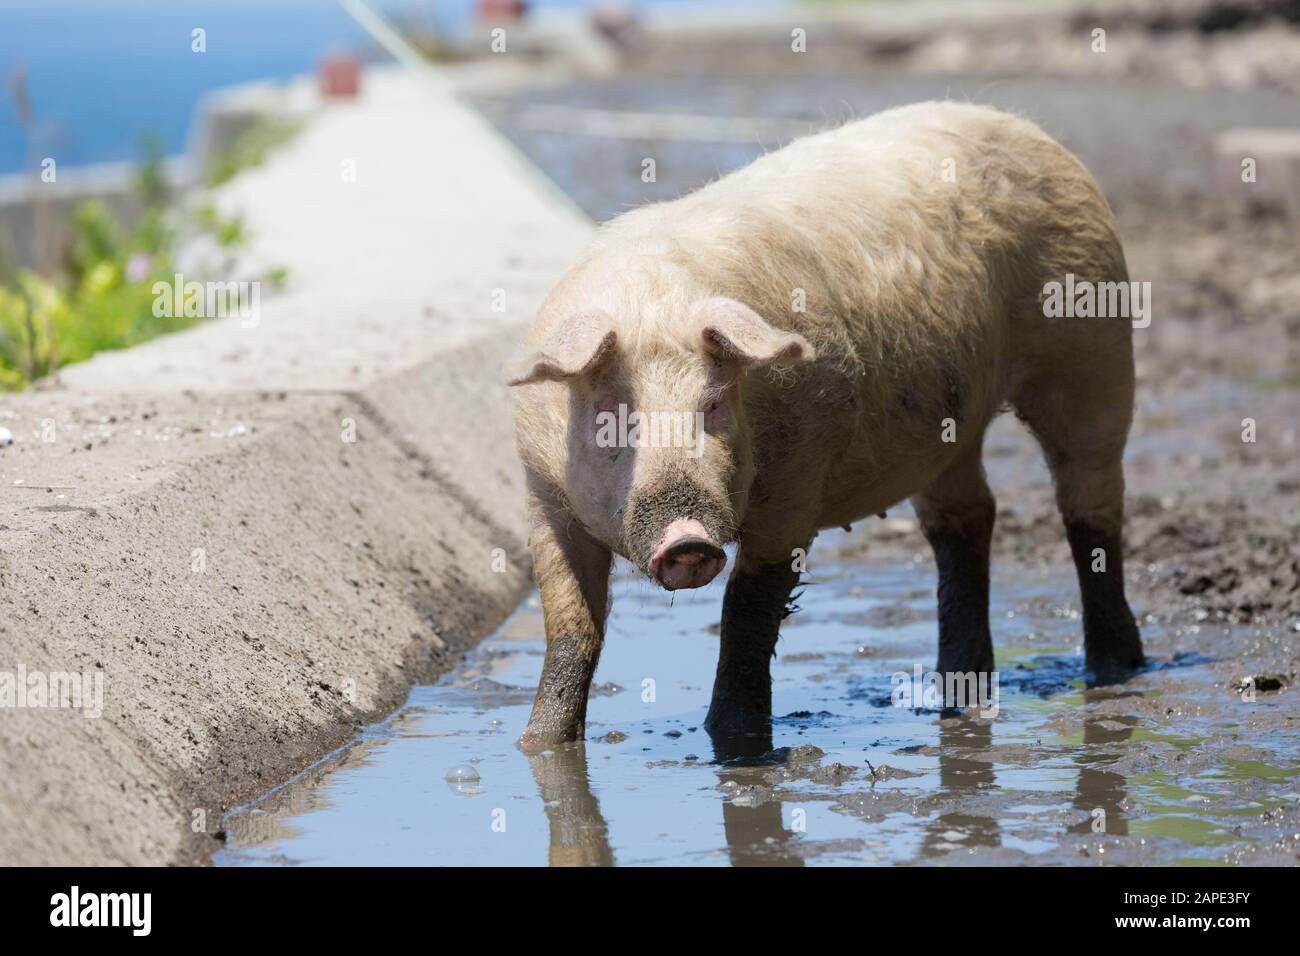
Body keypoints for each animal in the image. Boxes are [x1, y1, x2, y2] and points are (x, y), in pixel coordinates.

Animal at [501, 98, 1144, 754]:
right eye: (612, 416)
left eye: (714, 405)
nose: (687, 540)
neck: (650, 299)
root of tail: (1031, 132)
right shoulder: (544, 494)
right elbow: (570, 625)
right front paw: (537, 744)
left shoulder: (798, 481)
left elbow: (749, 610)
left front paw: (733, 741)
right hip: (950, 423)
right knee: (966, 519)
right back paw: (956, 693)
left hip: (1095, 340)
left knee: (1091, 506)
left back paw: (1116, 669)